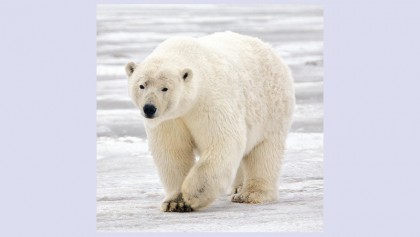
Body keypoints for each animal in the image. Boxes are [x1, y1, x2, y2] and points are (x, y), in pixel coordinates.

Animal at [126, 32, 294, 213]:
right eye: (141, 85)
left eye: (165, 88)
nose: (149, 108)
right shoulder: (170, 120)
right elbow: (173, 151)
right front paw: (174, 203)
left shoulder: (210, 100)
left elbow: (222, 141)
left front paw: (192, 194)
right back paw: (237, 187)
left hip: (272, 109)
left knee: (264, 152)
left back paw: (250, 194)